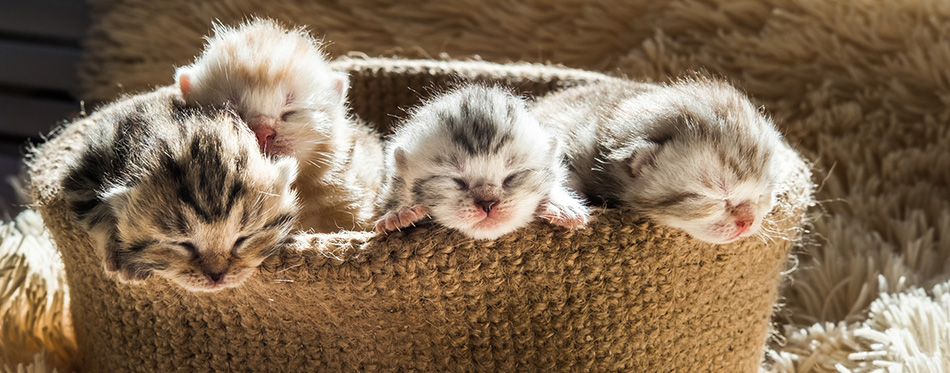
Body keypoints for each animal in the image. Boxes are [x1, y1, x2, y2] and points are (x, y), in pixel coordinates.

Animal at [61, 86, 300, 290]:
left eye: (243, 239)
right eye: (183, 244)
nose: (216, 276)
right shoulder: (84, 174)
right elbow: (96, 210)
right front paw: (120, 254)